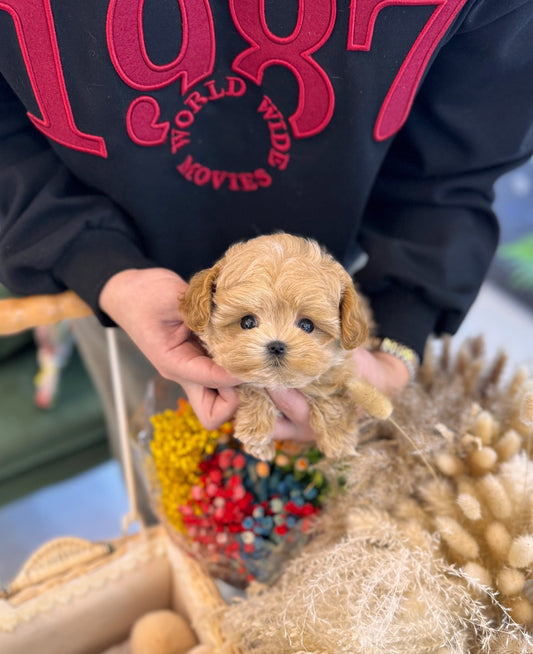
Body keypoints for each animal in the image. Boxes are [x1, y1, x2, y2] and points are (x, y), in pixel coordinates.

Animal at [180, 234, 390, 462]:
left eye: (307, 325)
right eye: (247, 322)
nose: (276, 346)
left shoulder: (339, 368)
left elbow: (330, 396)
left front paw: (338, 439)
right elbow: (253, 386)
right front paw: (257, 432)